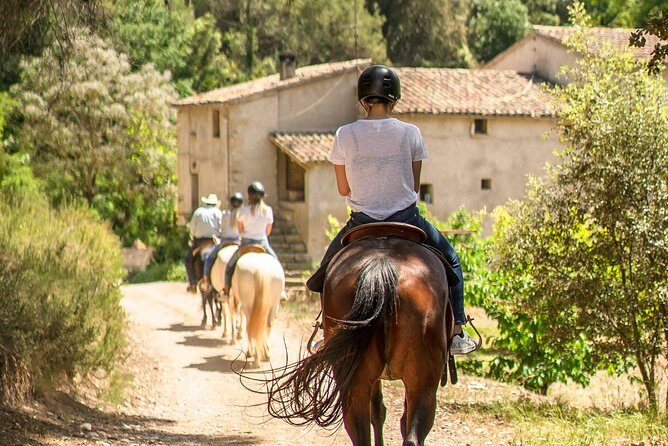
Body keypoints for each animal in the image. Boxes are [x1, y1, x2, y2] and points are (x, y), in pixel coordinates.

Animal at [264, 236, 455, 446]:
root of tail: (382, 266)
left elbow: (379, 411)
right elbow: (383, 413)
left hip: (356, 378)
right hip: (423, 383)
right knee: (411, 434)